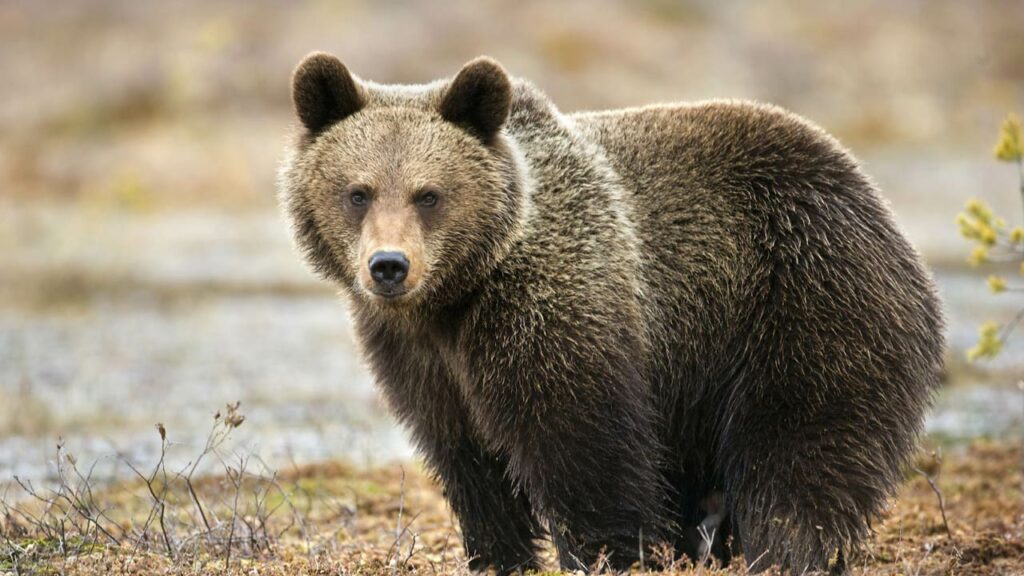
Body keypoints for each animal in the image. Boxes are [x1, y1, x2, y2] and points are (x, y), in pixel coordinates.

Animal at [278, 53, 945, 575]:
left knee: (802, 446)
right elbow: (467, 460)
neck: (454, 298)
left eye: (429, 194)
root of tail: (870, 194)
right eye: (358, 192)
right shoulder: (418, 356)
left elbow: (582, 445)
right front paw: (498, 555)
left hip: (804, 294)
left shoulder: (553, 305)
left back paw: (786, 551)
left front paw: (610, 553)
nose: (389, 266)